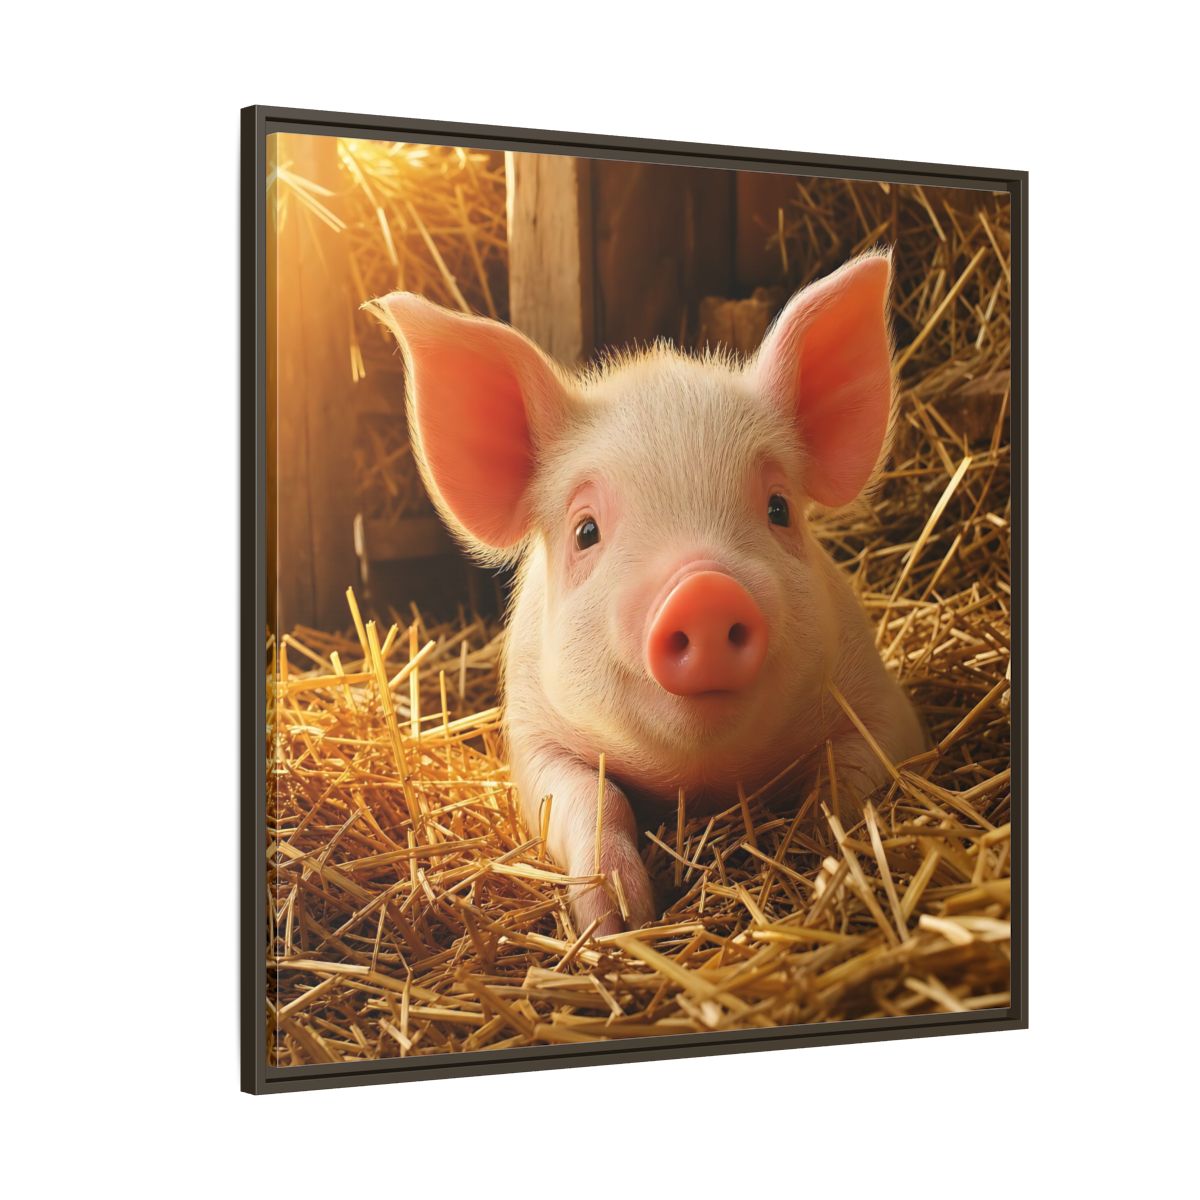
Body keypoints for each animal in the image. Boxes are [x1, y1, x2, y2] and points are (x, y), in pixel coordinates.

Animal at [368, 251, 926, 937]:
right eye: (586, 531)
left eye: (779, 508)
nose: (704, 591)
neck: (702, 779)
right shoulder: (531, 735)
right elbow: (592, 797)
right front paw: (618, 923)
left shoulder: (882, 703)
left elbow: (846, 776)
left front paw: (825, 859)